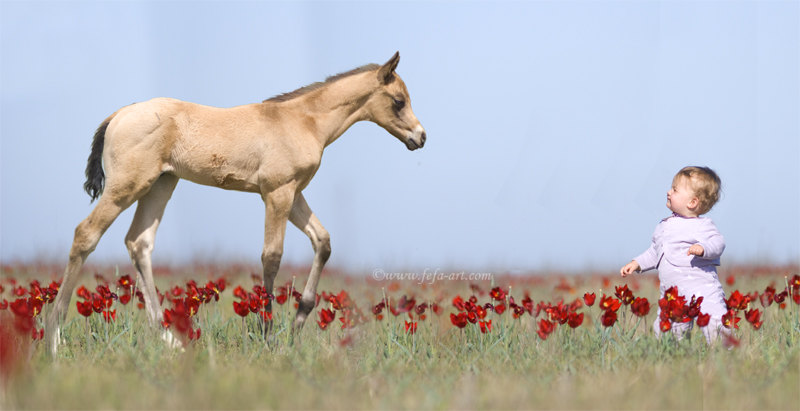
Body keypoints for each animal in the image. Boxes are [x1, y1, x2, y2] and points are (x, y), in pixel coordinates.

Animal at [45, 51, 424, 354]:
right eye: (398, 101)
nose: (420, 137)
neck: (303, 121)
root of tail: (120, 113)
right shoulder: (276, 193)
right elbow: (272, 256)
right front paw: (267, 334)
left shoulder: (294, 193)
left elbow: (323, 242)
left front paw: (299, 320)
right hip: (127, 186)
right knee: (86, 234)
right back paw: (54, 338)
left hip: (161, 185)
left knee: (139, 243)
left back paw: (168, 339)